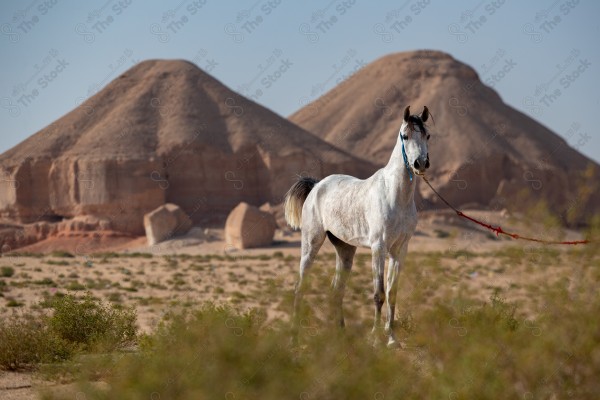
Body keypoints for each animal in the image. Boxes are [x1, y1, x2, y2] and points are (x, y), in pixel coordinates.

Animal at [284, 106, 428, 346]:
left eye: (428, 135)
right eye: (405, 136)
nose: (421, 164)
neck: (395, 195)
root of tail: (316, 186)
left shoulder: (399, 250)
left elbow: (392, 293)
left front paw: (392, 339)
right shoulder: (378, 248)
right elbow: (379, 294)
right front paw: (375, 338)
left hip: (345, 250)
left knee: (337, 290)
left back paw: (341, 333)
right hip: (311, 244)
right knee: (299, 286)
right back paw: (294, 336)